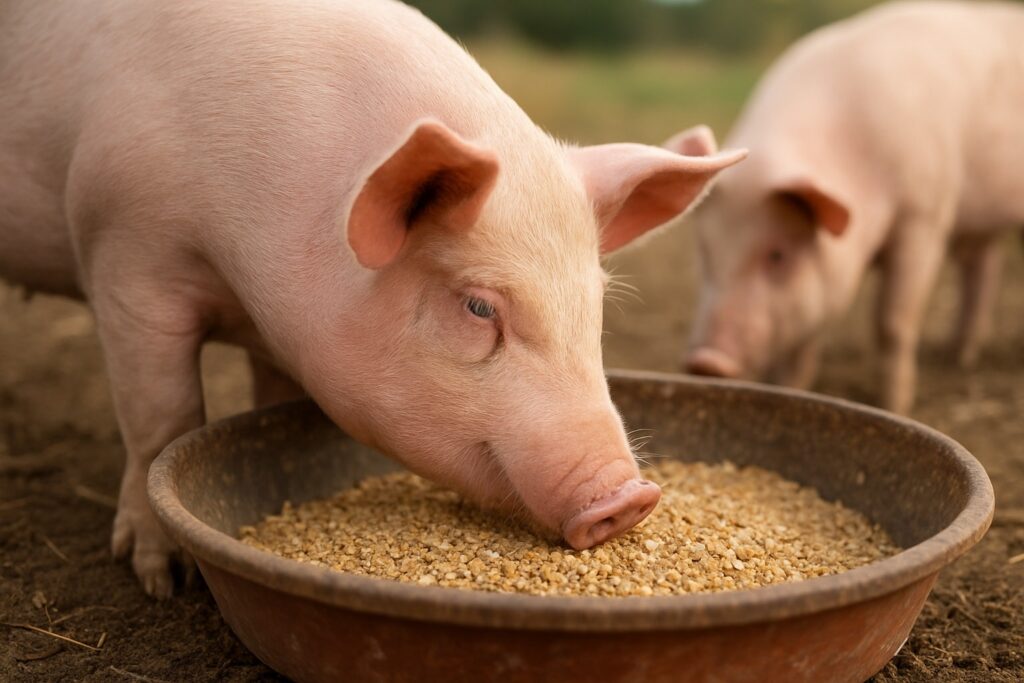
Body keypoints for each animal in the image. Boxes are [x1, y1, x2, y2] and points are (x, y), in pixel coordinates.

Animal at [0, 0, 744, 597]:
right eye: (478, 307)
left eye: (596, 304)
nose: (632, 494)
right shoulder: (124, 252)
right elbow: (161, 414)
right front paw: (162, 581)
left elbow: (267, 409)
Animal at [672, 1, 1024, 414]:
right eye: (706, 253)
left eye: (778, 255)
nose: (706, 362)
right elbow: (802, 342)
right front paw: (786, 391)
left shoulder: (924, 216)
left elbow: (892, 323)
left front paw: (894, 406)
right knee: (983, 270)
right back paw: (958, 356)